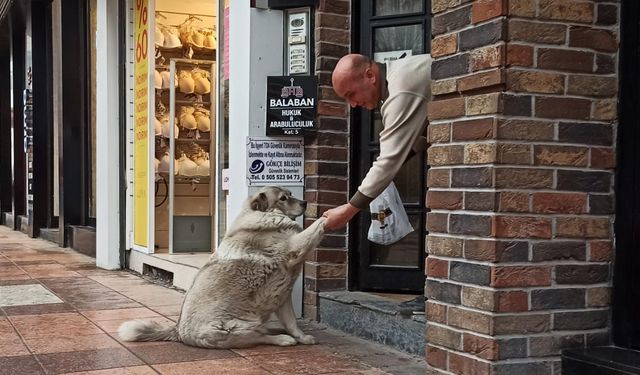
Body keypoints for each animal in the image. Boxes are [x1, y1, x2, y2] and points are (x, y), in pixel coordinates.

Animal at [120, 188, 328, 350]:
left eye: (291, 194)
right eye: (283, 198)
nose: (305, 202)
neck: (263, 215)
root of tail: (177, 331)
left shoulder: (282, 295)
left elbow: (292, 322)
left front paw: (302, 337)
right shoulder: (295, 246)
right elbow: (314, 229)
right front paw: (328, 215)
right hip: (238, 326)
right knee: (257, 337)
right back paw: (281, 339)